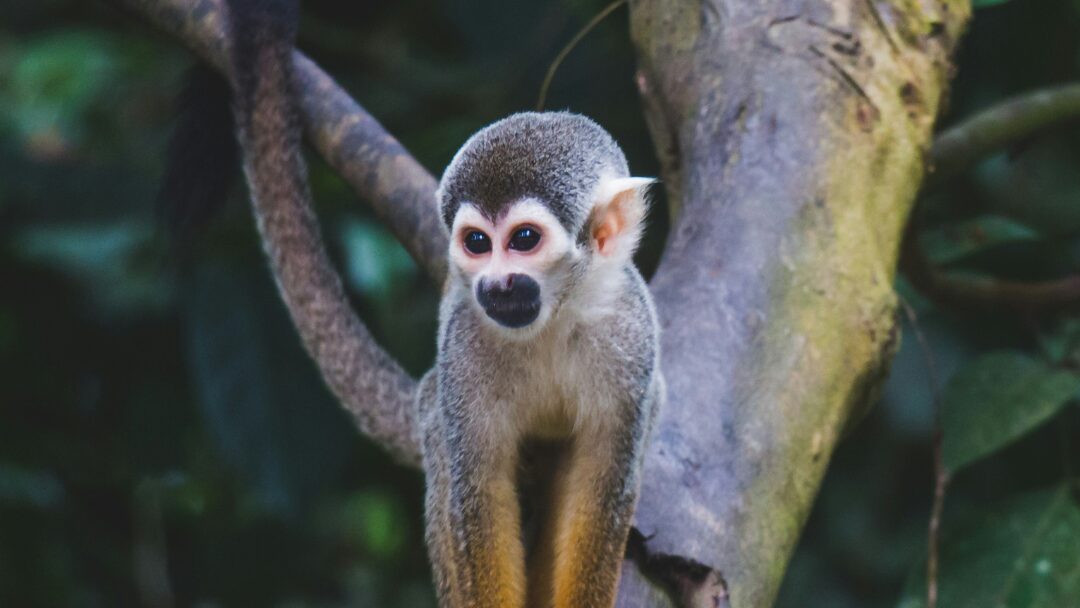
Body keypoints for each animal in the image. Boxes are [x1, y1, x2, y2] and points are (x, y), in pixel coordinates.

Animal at [217, 2, 656, 604]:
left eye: (524, 240)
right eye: (477, 243)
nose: (495, 285)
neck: (555, 316)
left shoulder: (631, 337)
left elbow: (601, 488)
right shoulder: (464, 346)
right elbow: (478, 495)